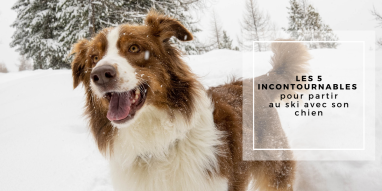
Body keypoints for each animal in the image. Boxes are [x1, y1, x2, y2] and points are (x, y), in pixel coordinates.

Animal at [71, 10, 310, 191]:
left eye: (134, 48)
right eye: (94, 58)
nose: (101, 75)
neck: (155, 144)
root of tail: (247, 82)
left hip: (275, 167)